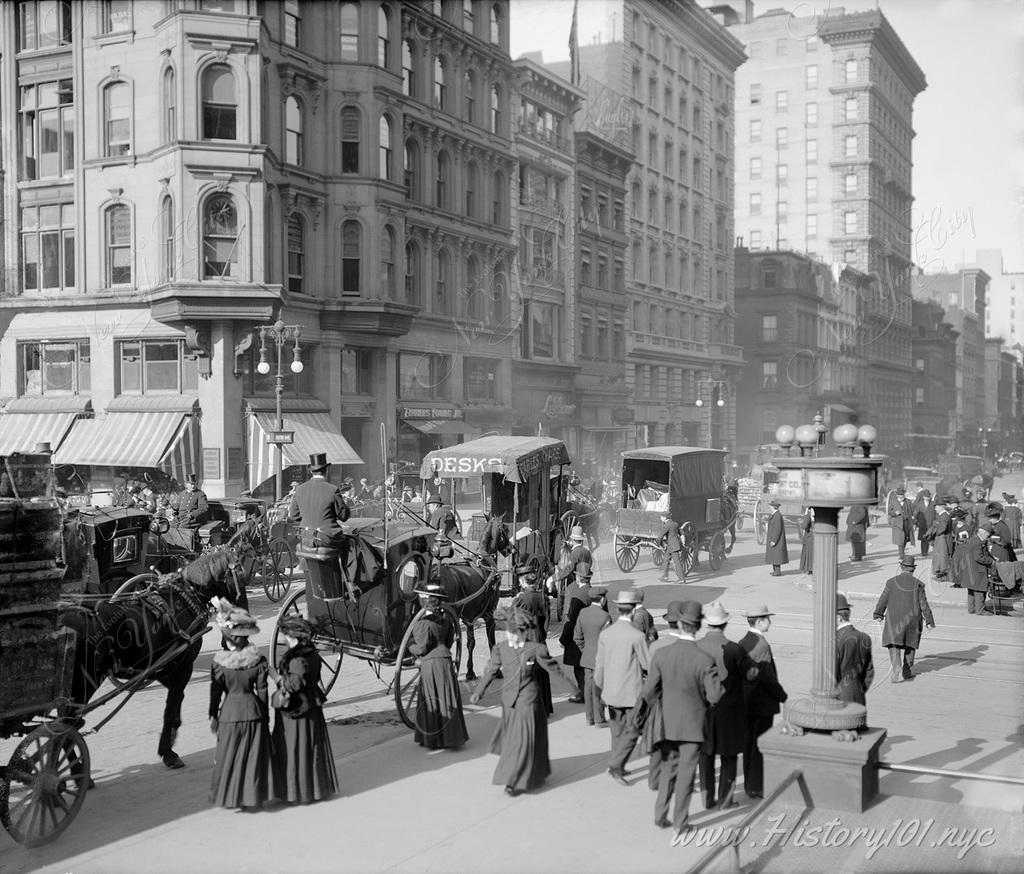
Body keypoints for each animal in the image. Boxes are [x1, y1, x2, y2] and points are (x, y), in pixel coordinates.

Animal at [59, 548, 241, 773]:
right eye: (239, 573)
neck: (186, 595)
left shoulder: (163, 667)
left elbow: (176, 702)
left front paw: (173, 734)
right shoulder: (183, 667)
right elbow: (170, 707)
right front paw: (168, 752)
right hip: (82, 684)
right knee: (64, 728)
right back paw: (75, 771)